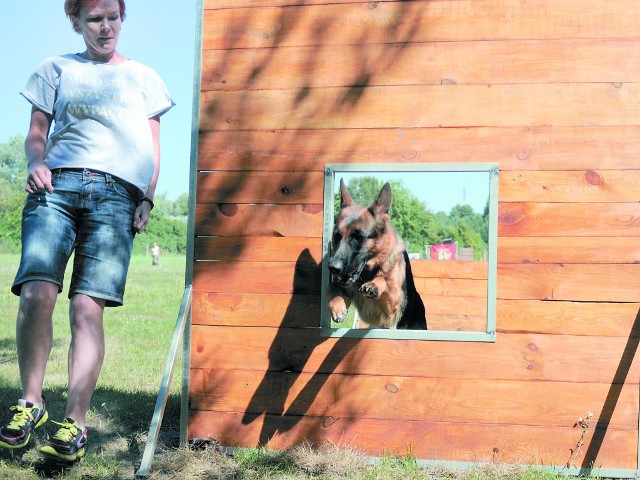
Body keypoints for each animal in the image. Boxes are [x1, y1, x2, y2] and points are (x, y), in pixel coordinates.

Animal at [328, 180, 428, 330]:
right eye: (337, 236)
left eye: (358, 238)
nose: (333, 268)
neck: (368, 273)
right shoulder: (344, 289)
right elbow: (332, 290)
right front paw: (338, 307)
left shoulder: (393, 304)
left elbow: (383, 280)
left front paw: (374, 285)